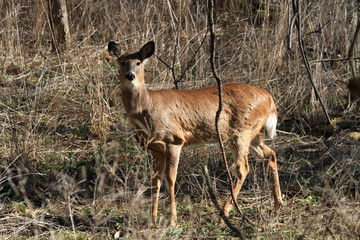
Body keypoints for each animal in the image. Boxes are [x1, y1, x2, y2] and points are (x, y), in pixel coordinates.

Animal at [108, 40, 282, 226]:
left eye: (139, 62)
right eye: (122, 62)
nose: (130, 76)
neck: (148, 109)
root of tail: (269, 98)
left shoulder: (174, 140)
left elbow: (170, 178)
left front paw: (172, 220)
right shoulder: (154, 147)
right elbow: (155, 180)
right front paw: (151, 220)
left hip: (241, 132)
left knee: (243, 169)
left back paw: (224, 214)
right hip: (252, 133)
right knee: (270, 155)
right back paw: (277, 205)